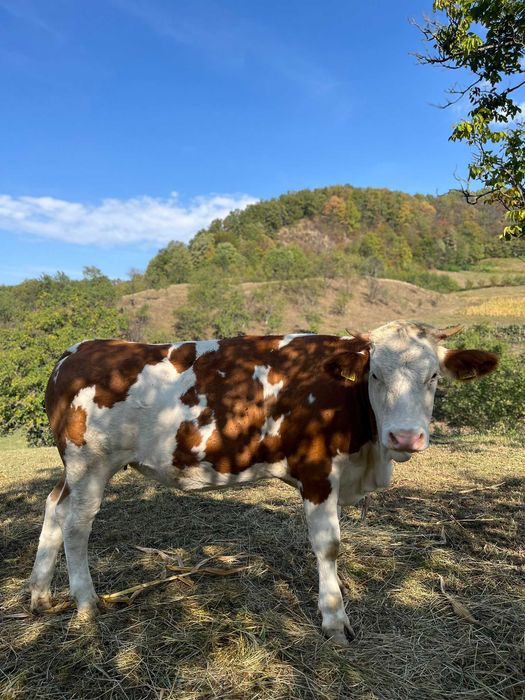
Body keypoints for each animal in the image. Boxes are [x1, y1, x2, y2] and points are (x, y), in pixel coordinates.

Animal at [29, 321, 498, 644]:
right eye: (375, 375)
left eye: (433, 376)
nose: (405, 437)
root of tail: (77, 351)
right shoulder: (316, 471)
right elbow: (329, 546)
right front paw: (334, 619)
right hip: (89, 465)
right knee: (77, 525)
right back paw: (86, 604)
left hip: (73, 468)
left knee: (54, 505)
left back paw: (40, 595)